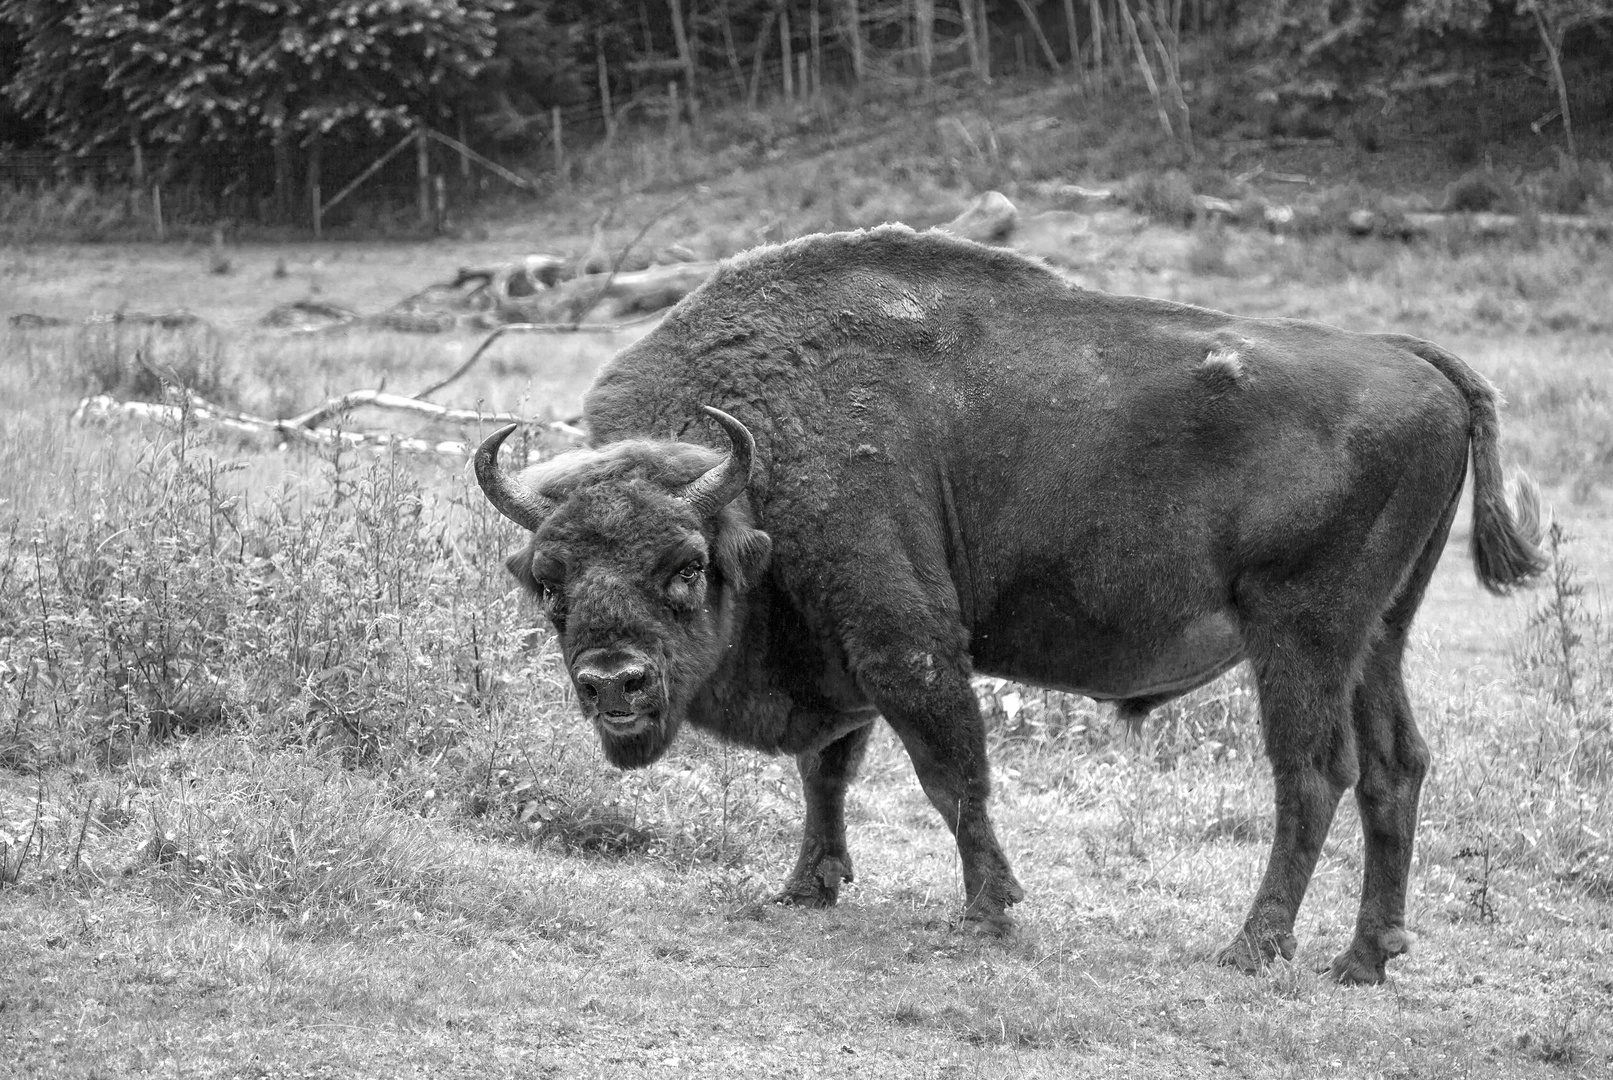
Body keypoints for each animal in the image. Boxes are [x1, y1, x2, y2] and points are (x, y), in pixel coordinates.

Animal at [470, 228, 1542, 992]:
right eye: (550, 581)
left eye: (686, 568)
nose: (613, 684)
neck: (757, 475)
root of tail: (1416, 362)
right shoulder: (844, 659)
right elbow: (829, 772)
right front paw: (806, 888)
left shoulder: (905, 647)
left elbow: (952, 777)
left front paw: (986, 912)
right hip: (1378, 635)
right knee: (1395, 768)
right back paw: (1364, 959)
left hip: (1300, 636)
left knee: (1312, 774)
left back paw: (1252, 948)